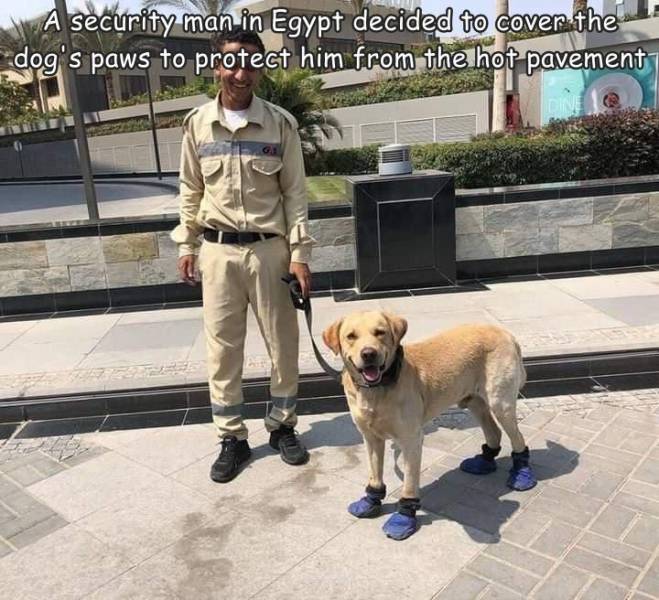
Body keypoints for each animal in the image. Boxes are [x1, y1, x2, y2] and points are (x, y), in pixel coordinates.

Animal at [324, 312, 536, 540]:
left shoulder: (411, 440)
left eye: (380, 332)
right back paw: (484, 460)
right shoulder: (371, 438)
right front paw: (371, 500)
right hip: (474, 400)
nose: (369, 354)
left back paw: (522, 474)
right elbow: (375, 474)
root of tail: (505, 333)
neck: (376, 390)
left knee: (518, 439)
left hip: (500, 403)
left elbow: (409, 484)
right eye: (351, 336)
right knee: (494, 431)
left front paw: (404, 517)